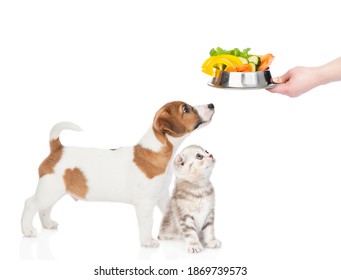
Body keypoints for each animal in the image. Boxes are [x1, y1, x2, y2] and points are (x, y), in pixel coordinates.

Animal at [21, 100, 214, 247]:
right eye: (186, 109)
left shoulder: (162, 196)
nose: (211, 104)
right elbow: (147, 222)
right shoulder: (145, 203)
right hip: (49, 190)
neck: (156, 151)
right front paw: (147, 242)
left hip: (53, 191)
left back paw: (47, 224)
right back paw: (27, 230)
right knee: (31, 204)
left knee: (44, 208)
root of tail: (57, 149)